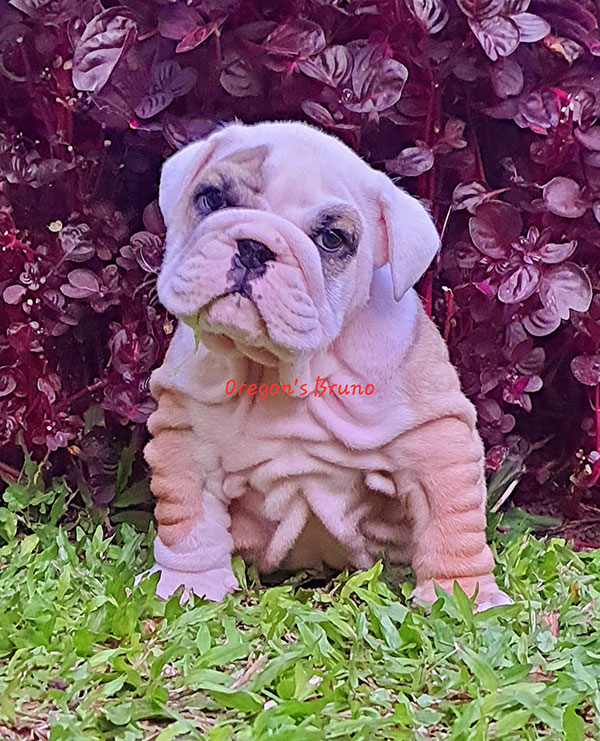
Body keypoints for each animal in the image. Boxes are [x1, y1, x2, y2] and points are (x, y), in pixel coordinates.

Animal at [140, 119, 512, 612]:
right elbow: (189, 522)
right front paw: (188, 584)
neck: (280, 368)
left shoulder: (436, 442)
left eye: (331, 240)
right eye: (212, 199)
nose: (255, 246)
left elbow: (451, 522)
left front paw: (463, 597)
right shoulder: (187, 442)